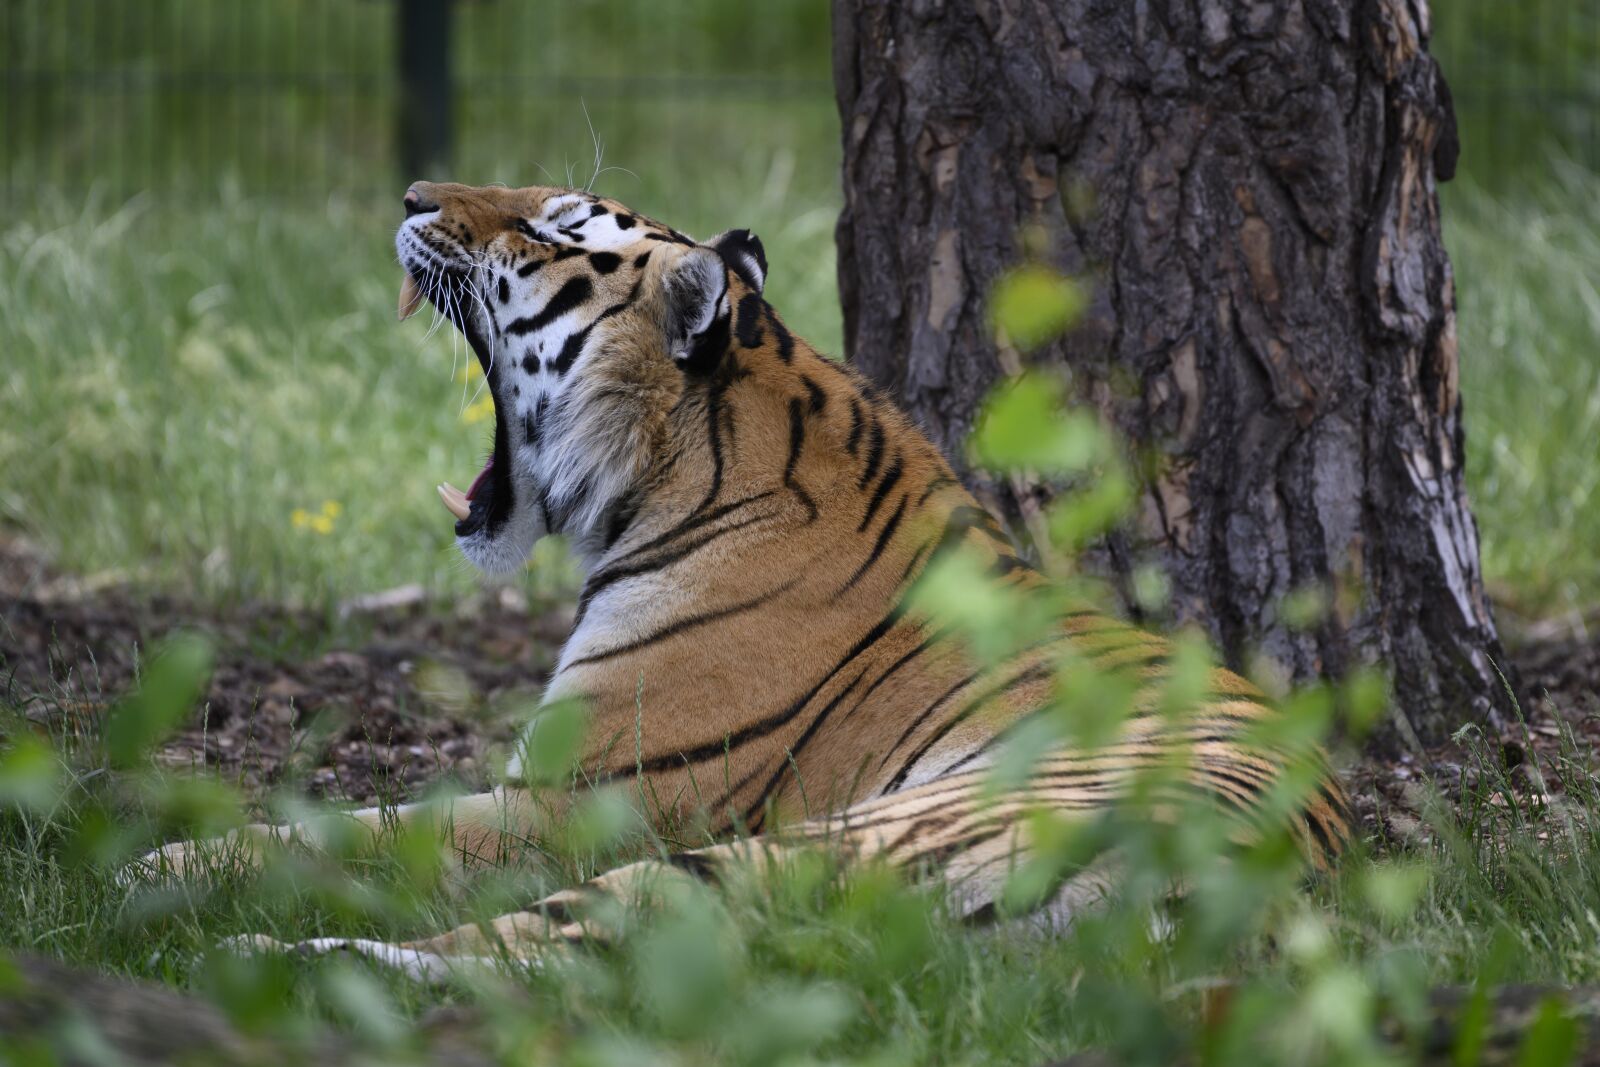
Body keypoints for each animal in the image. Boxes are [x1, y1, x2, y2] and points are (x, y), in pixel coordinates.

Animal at [137, 179, 1344, 979]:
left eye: (547, 226)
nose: (414, 191)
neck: (679, 466)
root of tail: (1226, 890)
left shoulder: (580, 795)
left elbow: (371, 824)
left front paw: (166, 858)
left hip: (793, 848)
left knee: (526, 951)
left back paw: (261, 954)